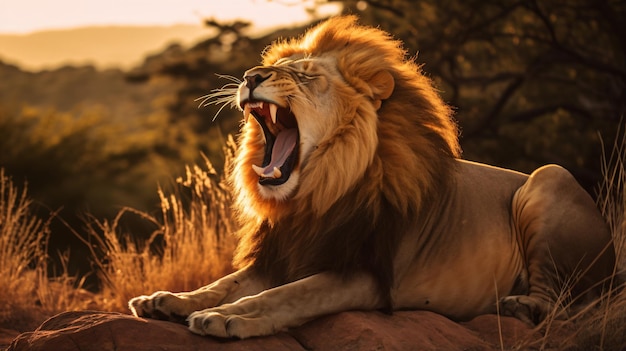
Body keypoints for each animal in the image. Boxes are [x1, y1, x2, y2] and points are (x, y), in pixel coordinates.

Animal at [128, 15, 616, 338]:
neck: (316, 193)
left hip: (549, 180)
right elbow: (224, 282)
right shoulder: (284, 253)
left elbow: (289, 296)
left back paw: (523, 307)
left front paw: (230, 317)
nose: (250, 76)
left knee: (567, 302)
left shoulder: (364, 274)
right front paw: (169, 300)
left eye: (305, 76)